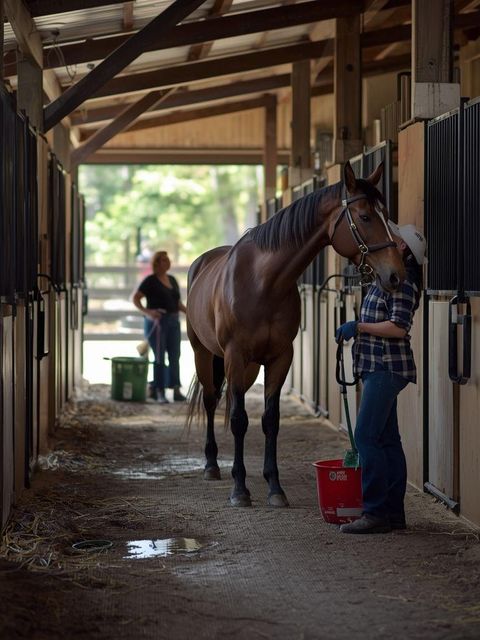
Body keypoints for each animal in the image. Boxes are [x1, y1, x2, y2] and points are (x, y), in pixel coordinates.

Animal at [186, 161, 405, 508]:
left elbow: (269, 420)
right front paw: (240, 490)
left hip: (247, 367)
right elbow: (239, 419)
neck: (263, 282)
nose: (396, 275)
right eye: (365, 217)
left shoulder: (279, 357)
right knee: (210, 401)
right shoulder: (235, 355)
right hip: (204, 354)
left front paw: (274, 487)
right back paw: (211, 465)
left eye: (386, 214)